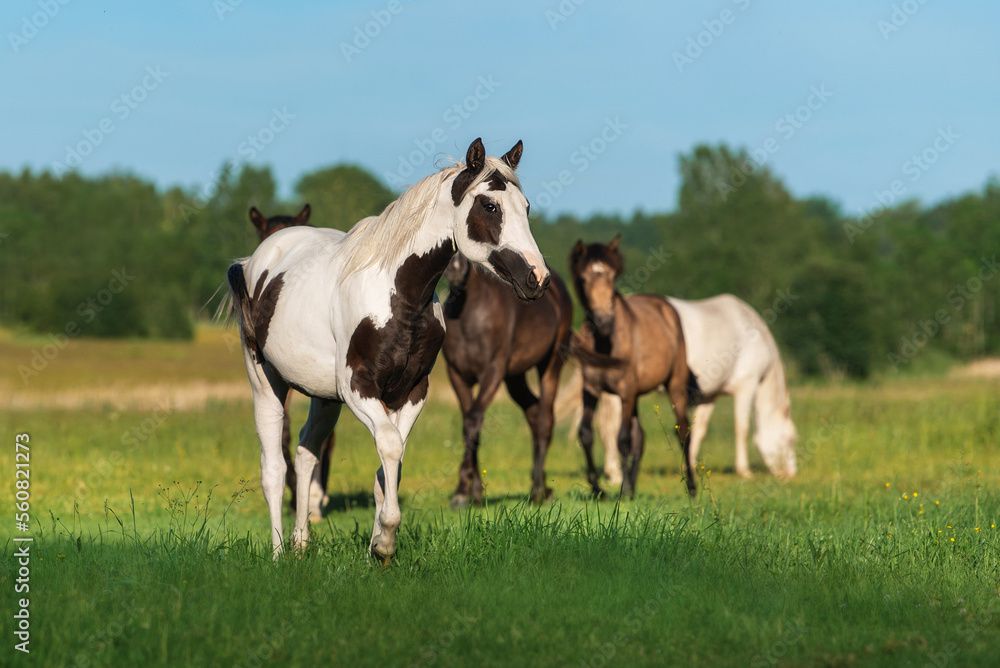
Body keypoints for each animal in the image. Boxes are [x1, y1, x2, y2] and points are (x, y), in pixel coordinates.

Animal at [444, 253, 576, 504]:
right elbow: (469, 426)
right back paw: (541, 487)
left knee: (544, 419)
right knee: (533, 412)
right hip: (515, 378)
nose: (455, 269)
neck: (469, 313)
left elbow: (473, 420)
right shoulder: (457, 375)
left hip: (550, 365)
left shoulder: (492, 372)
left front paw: (461, 492)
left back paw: (538, 491)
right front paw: (474, 492)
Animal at [568, 237, 700, 498]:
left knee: (683, 432)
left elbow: (622, 438)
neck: (606, 343)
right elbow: (586, 434)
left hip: (674, 385)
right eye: (583, 279)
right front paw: (598, 488)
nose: (604, 322)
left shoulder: (626, 391)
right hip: (636, 395)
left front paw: (622, 490)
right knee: (640, 437)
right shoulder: (591, 389)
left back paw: (691, 488)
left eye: (611, 278)